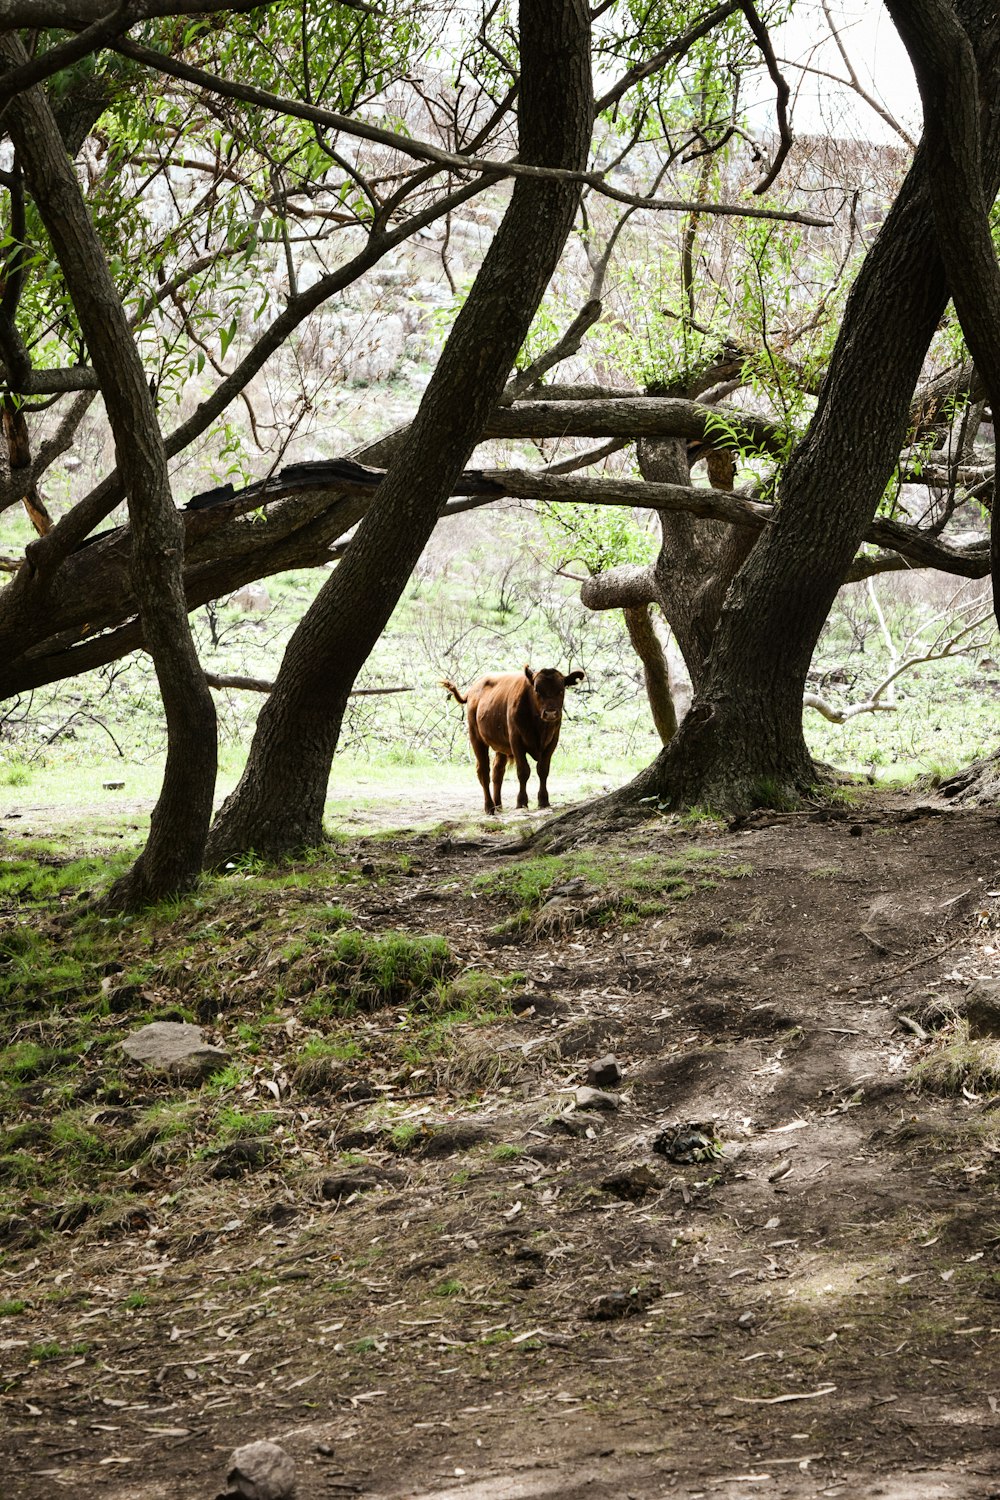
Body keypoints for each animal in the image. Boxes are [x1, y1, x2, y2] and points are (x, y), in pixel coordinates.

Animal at [440, 666, 587, 816]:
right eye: (537, 690)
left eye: (561, 690)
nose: (550, 713)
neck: (539, 726)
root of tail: (474, 688)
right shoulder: (516, 741)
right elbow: (523, 771)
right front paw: (521, 802)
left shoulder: (552, 741)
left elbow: (543, 770)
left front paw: (543, 800)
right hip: (476, 737)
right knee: (483, 771)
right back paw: (489, 807)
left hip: (501, 746)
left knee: (497, 772)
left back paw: (498, 805)